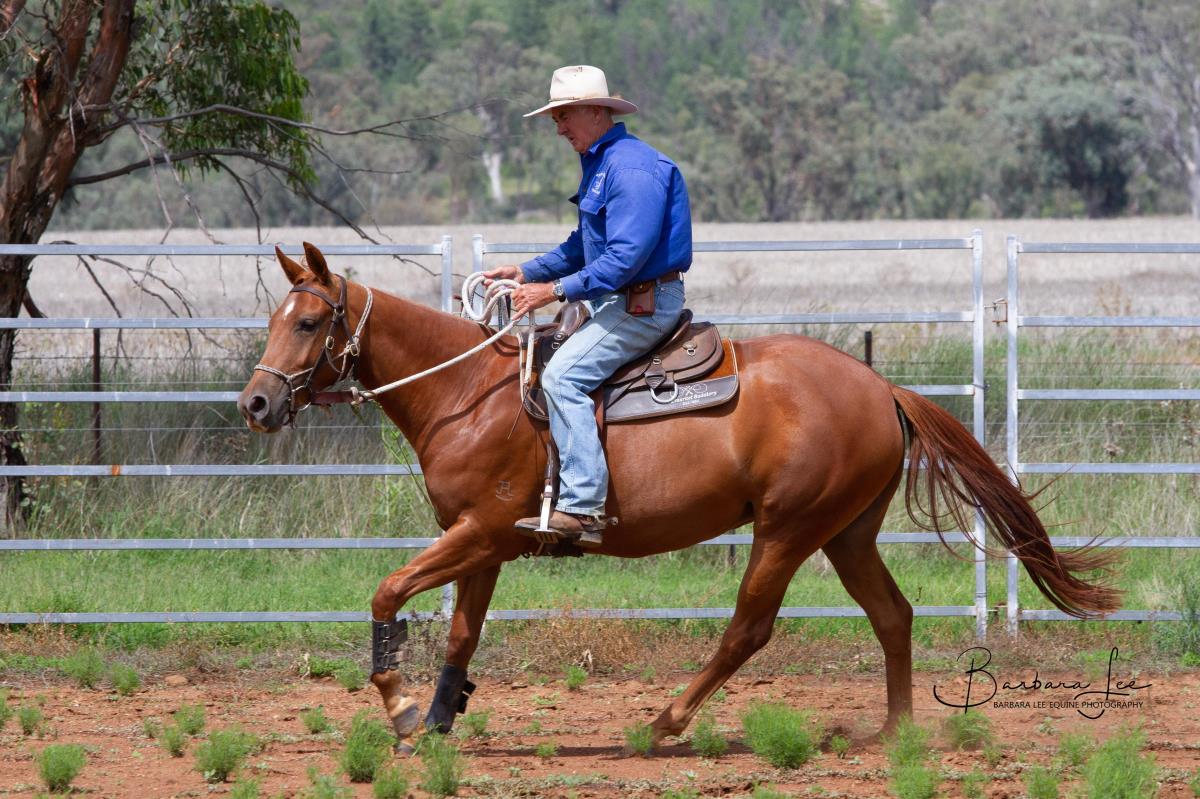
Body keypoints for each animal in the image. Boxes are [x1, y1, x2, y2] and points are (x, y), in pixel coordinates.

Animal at [237, 242, 1120, 753]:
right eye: (277, 315)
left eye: (310, 321)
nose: (255, 403)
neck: (468, 394)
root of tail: (882, 388)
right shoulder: (479, 541)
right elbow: (461, 633)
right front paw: (437, 720)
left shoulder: (482, 531)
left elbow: (388, 592)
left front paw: (397, 708)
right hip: (846, 533)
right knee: (892, 615)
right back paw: (894, 734)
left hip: (788, 529)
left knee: (748, 628)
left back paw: (663, 722)